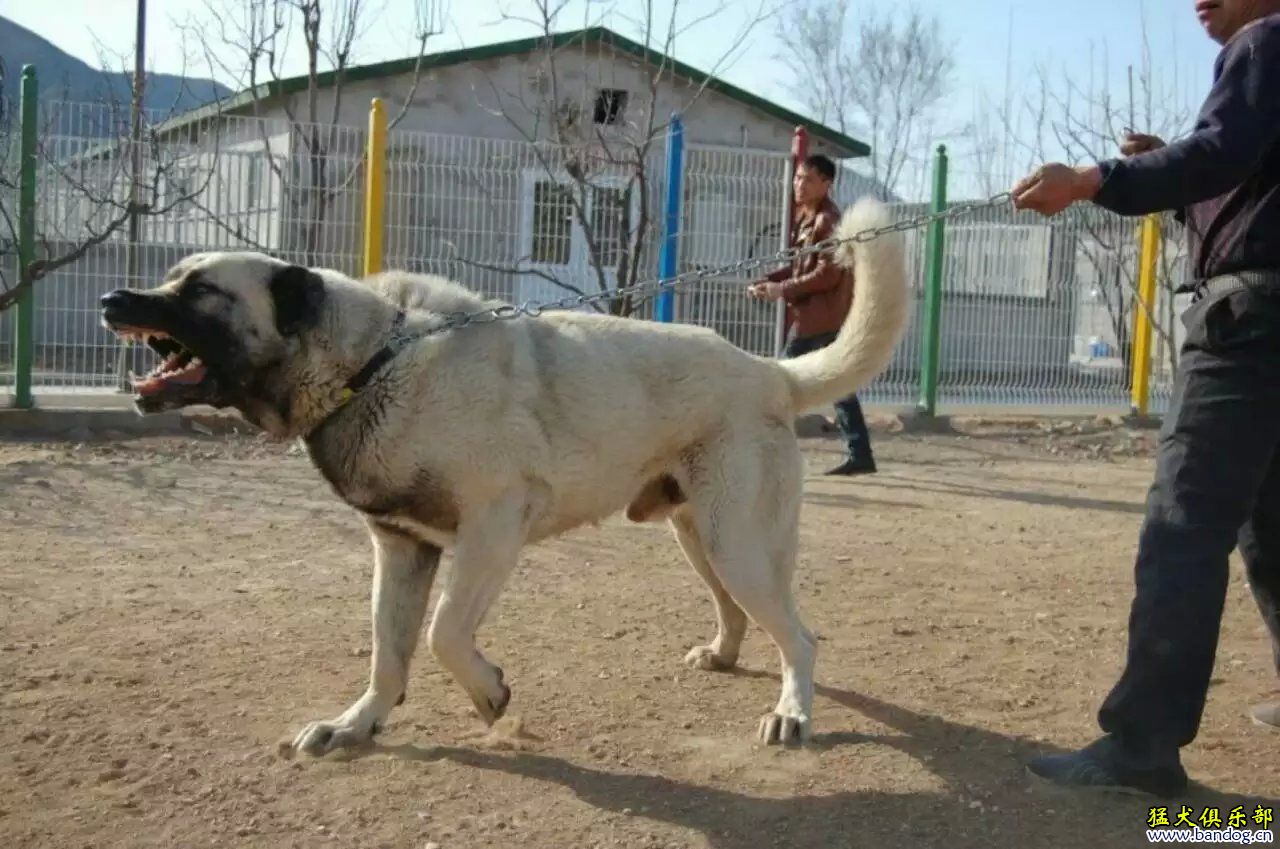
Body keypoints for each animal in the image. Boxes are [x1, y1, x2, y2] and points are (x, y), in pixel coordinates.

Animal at [94, 197, 906, 752]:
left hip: (737, 542)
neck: (370, 362)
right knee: (740, 613)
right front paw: (359, 723)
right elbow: (388, 652)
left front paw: (488, 694)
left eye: (202, 290)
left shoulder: (491, 530)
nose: (111, 298)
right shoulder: (401, 551)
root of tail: (770, 371)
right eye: (171, 278)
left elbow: (445, 634)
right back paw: (726, 655)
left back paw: (792, 710)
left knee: (800, 636)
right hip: (699, 537)